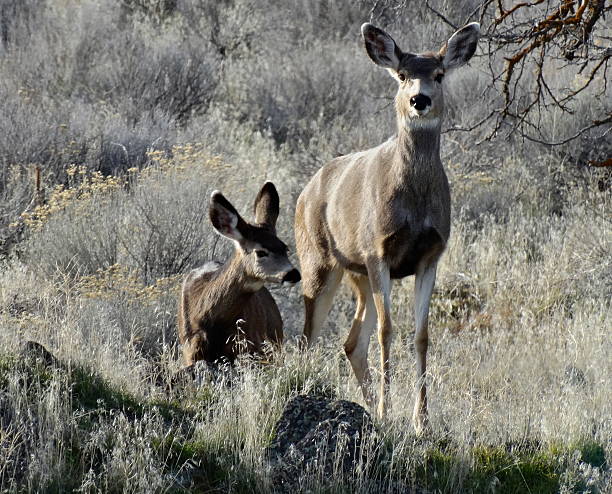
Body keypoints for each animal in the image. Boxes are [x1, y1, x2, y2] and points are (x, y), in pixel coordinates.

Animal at [294, 22, 480, 432]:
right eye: (402, 74)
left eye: (439, 74)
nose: (419, 100)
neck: (413, 204)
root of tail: (304, 192)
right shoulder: (378, 251)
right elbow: (386, 331)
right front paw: (386, 410)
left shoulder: (430, 255)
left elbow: (421, 334)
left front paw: (420, 420)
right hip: (319, 262)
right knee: (307, 337)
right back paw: (302, 393)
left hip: (358, 275)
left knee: (351, 342)